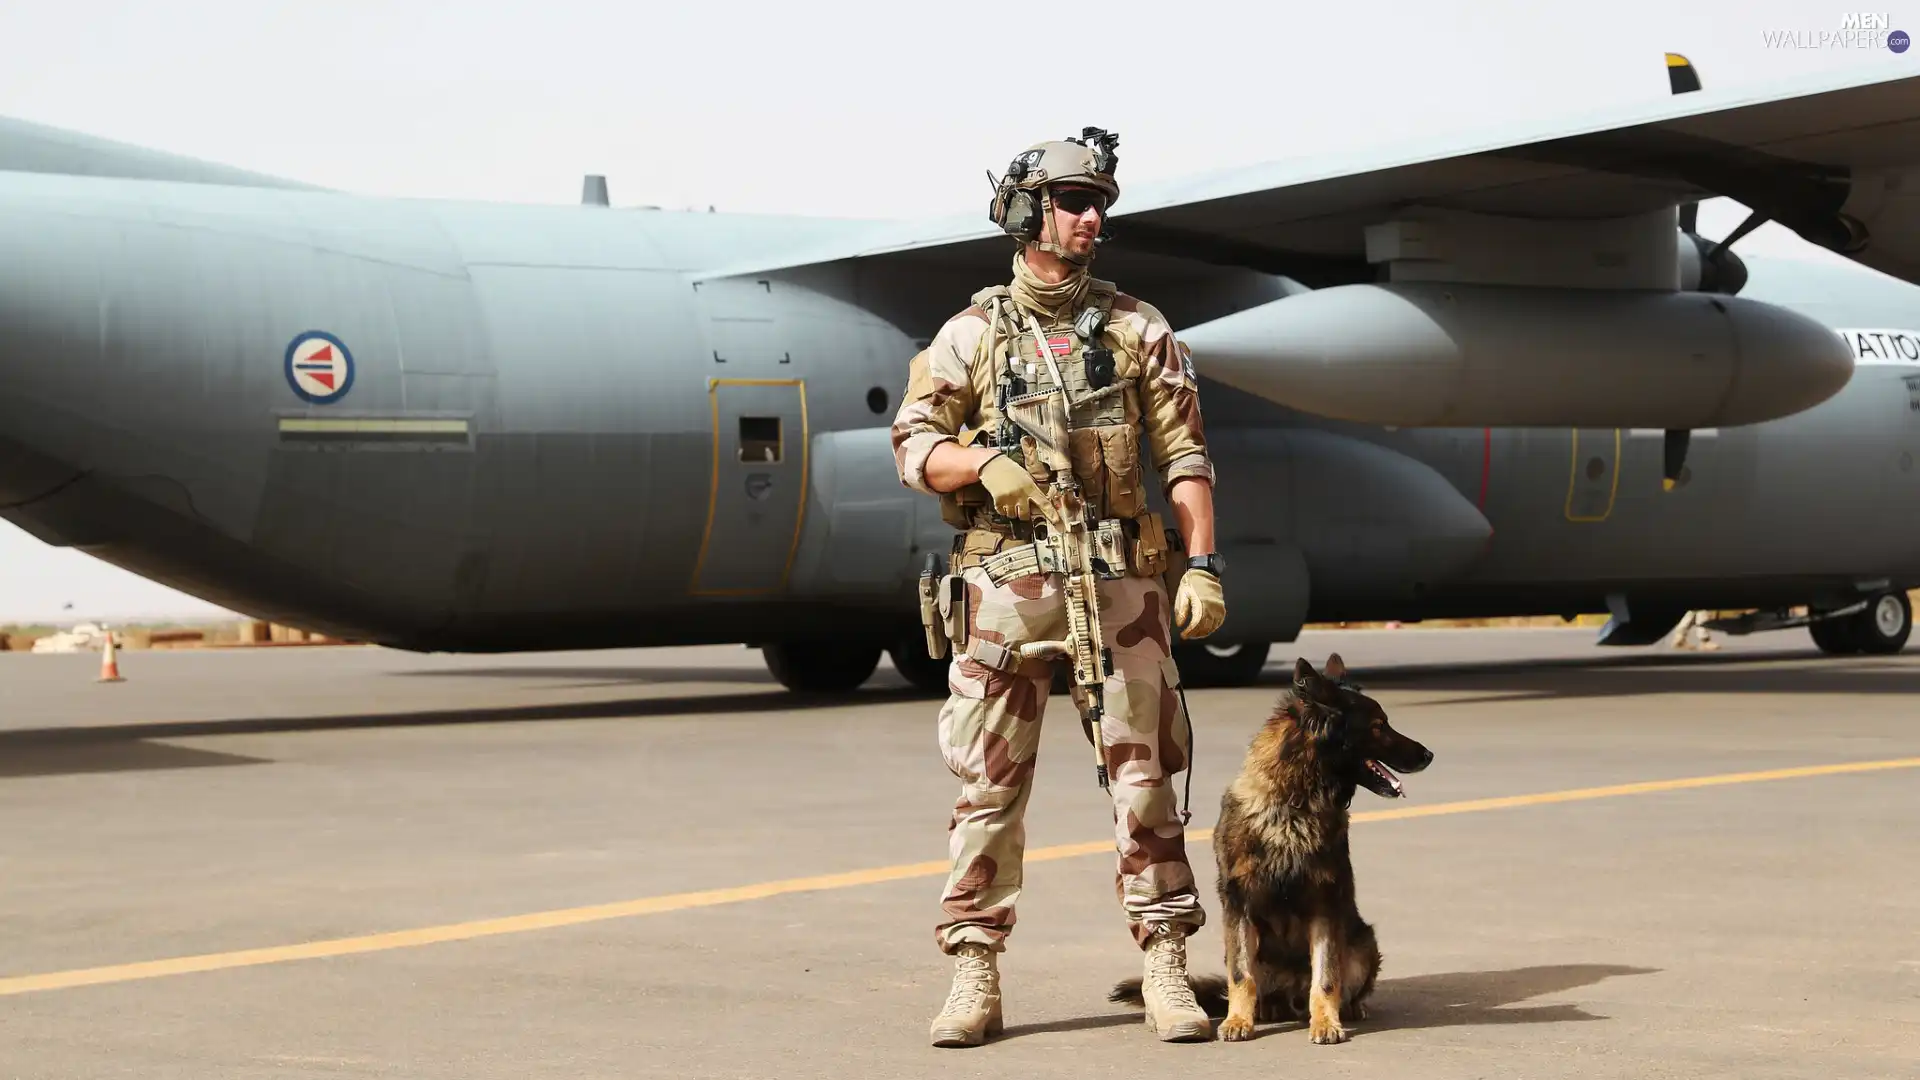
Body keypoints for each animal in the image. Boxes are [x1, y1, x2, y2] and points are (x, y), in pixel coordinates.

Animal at [1113, 653, 1428, 1037]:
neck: (1294, 803)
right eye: (1379, 726)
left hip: (1361, 942)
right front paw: (1237, 1020)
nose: (1428, 754)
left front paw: (1326, 1022)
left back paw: (1345, 1008)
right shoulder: (1239, 905)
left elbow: (1326, 977)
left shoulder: (1324, 904)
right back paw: (1267, 1007)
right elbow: (1240, 975)